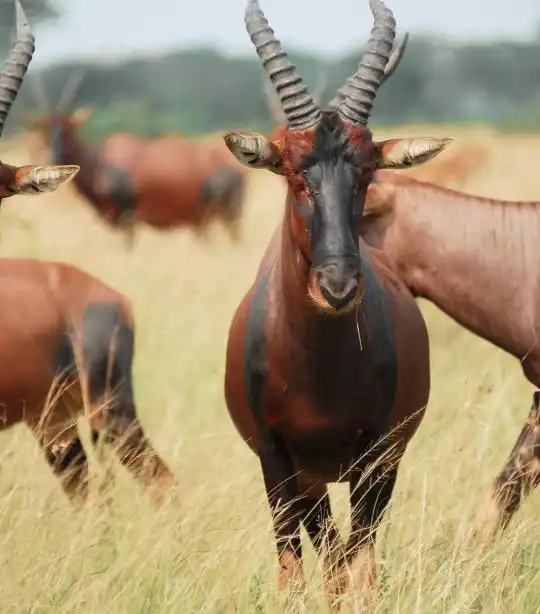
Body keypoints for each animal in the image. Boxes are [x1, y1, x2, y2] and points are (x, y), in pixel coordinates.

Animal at [22, 73, 248, 248]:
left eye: (70, 128)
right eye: (44, 131)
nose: (55, 159)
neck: (102, 161)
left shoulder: (128, 219)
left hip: (228, 217)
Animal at [219, 0, 452, 608]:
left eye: (366, 173)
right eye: (294, 171)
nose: (338, 286)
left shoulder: (377, 454)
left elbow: (359, 569)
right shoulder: (277, 459)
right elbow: (294, 572)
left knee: (346, 558)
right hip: (312, 477)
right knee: (325, 553)